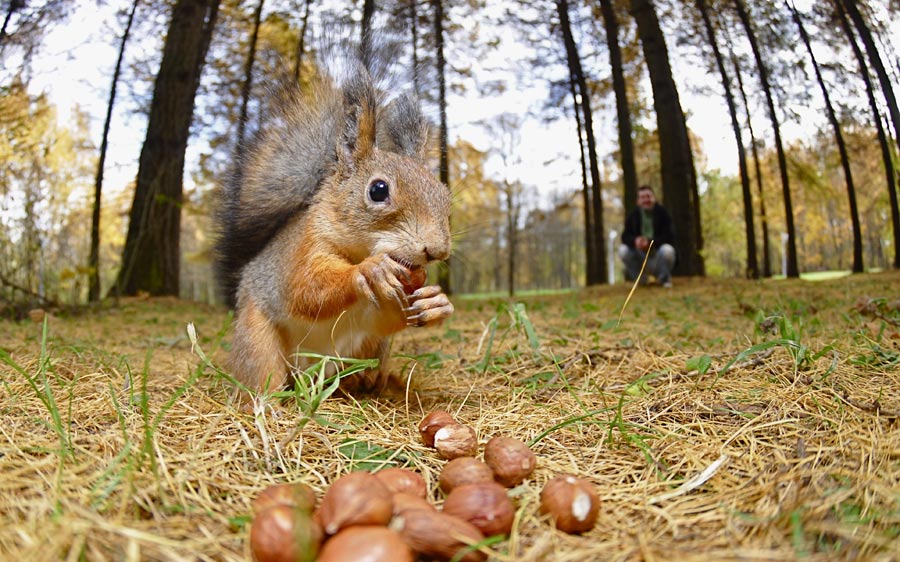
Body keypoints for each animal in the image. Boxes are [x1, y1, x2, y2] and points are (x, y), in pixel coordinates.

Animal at [214, 38, 454, 398]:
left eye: (444, 194)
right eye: (378, 190)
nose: (436, 250)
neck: (359, 248)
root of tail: (309, 377)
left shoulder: (375, 314)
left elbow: (384, 317)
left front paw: (435, 302)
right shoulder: (303, 249)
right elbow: (306, 289)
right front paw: (370, 270)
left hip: (371, 347)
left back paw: (371, 382)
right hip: (257, 338)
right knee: (261, 372)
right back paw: (265, 402)